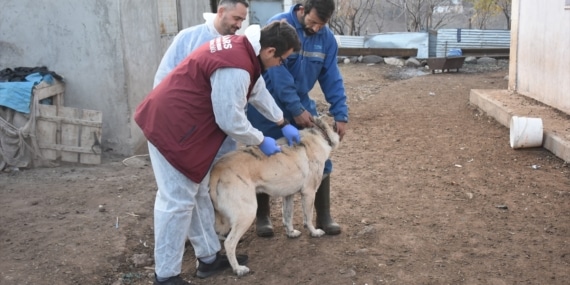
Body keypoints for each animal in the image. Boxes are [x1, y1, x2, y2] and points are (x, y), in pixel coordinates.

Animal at [210, 115, 340, 276]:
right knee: (229, 243)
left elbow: (288, 217)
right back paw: (238, 269)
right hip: (247, 213)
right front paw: (314, 232)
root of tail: (217, 169)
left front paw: (291, 233)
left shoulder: (288, 195)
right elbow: (308, 218)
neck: (317, 132)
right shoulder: (309, 193)